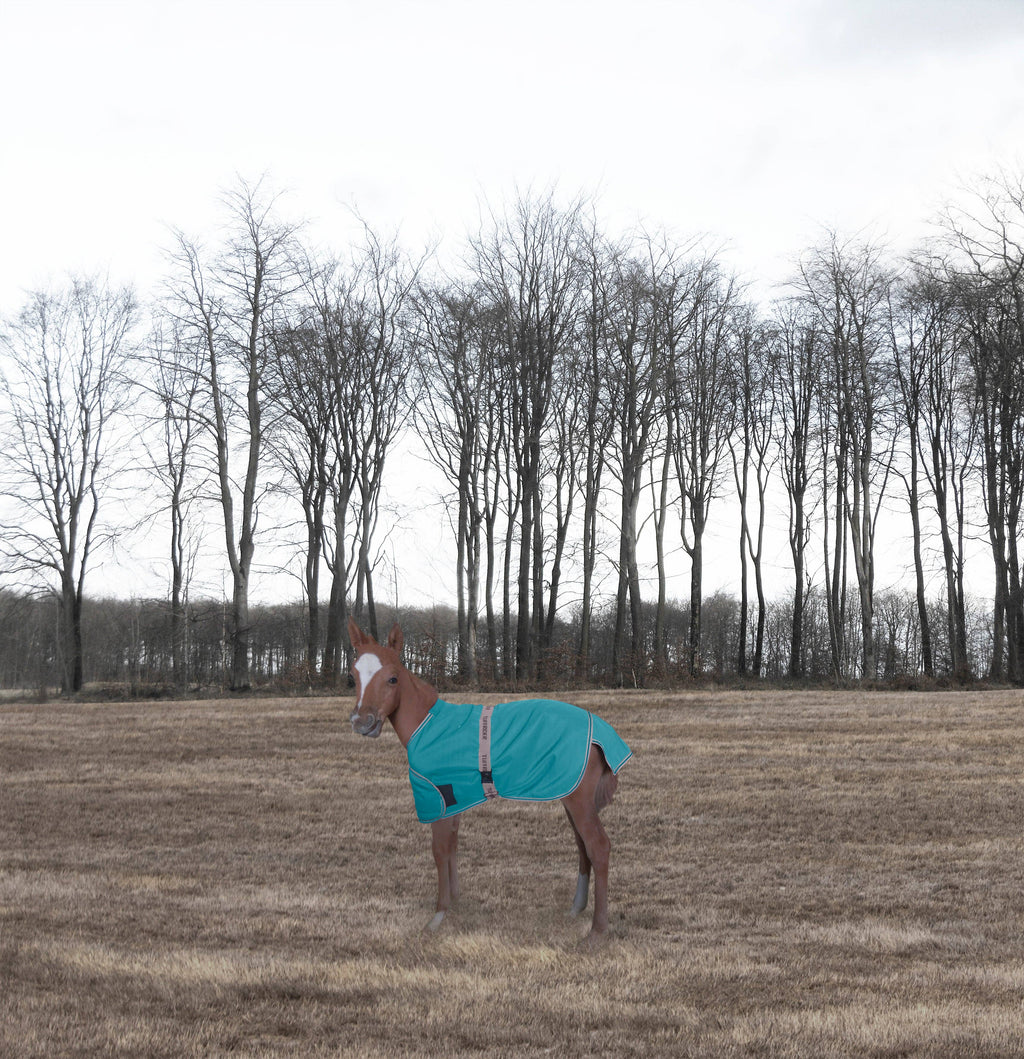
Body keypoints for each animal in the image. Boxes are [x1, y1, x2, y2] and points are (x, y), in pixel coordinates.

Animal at [346, 619, 632, 939]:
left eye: (393, 678)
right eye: (353, 676)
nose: (362, 722)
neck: (427, 725)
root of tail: (601, 733)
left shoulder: (438, 798)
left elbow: (439, 850)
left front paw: (438, 915)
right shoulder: (455, 799)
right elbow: (453, 845)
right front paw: (455, 902)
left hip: (579, 800)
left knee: (598, 847)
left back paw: (597, 929)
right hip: (570, 797)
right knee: (583, 847)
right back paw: (576, 909)